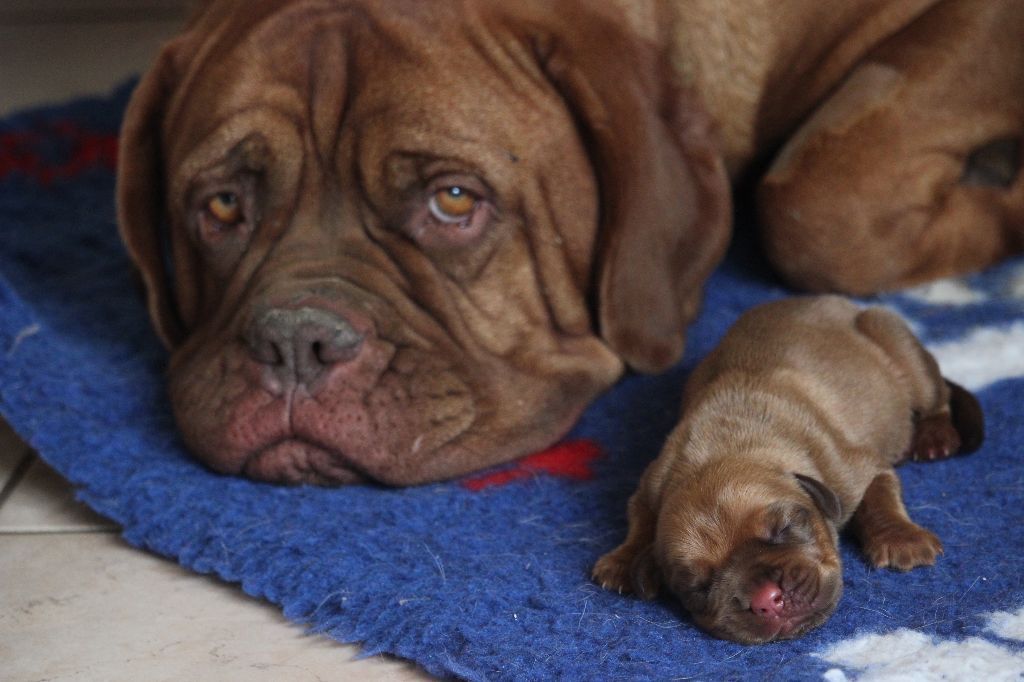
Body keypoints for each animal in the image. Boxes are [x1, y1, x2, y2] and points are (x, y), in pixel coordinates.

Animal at [593, 294, 983, 638]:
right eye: (697, 585)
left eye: (782, 529)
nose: (767, 600)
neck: (724, 446)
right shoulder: (651, 482)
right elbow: (640, 517)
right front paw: (624, 561)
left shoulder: (858, 468)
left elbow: (879, 497)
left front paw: (903, 541)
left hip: (894, 338)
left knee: (936, 398)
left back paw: (934, 437)